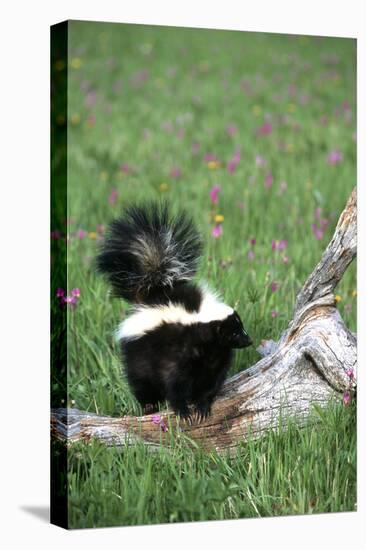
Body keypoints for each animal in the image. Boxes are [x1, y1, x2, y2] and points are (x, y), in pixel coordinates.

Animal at [96, 205, 253, 424]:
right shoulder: (175, 353)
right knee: (140, 381)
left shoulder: (216, 358)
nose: (249, 340)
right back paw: (149, 406)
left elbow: (210, 383)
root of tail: (154, 293)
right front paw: (183, 411)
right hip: (138, 353)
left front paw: (202, 407)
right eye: (235, 332)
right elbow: (174, 383)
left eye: (241, 328)